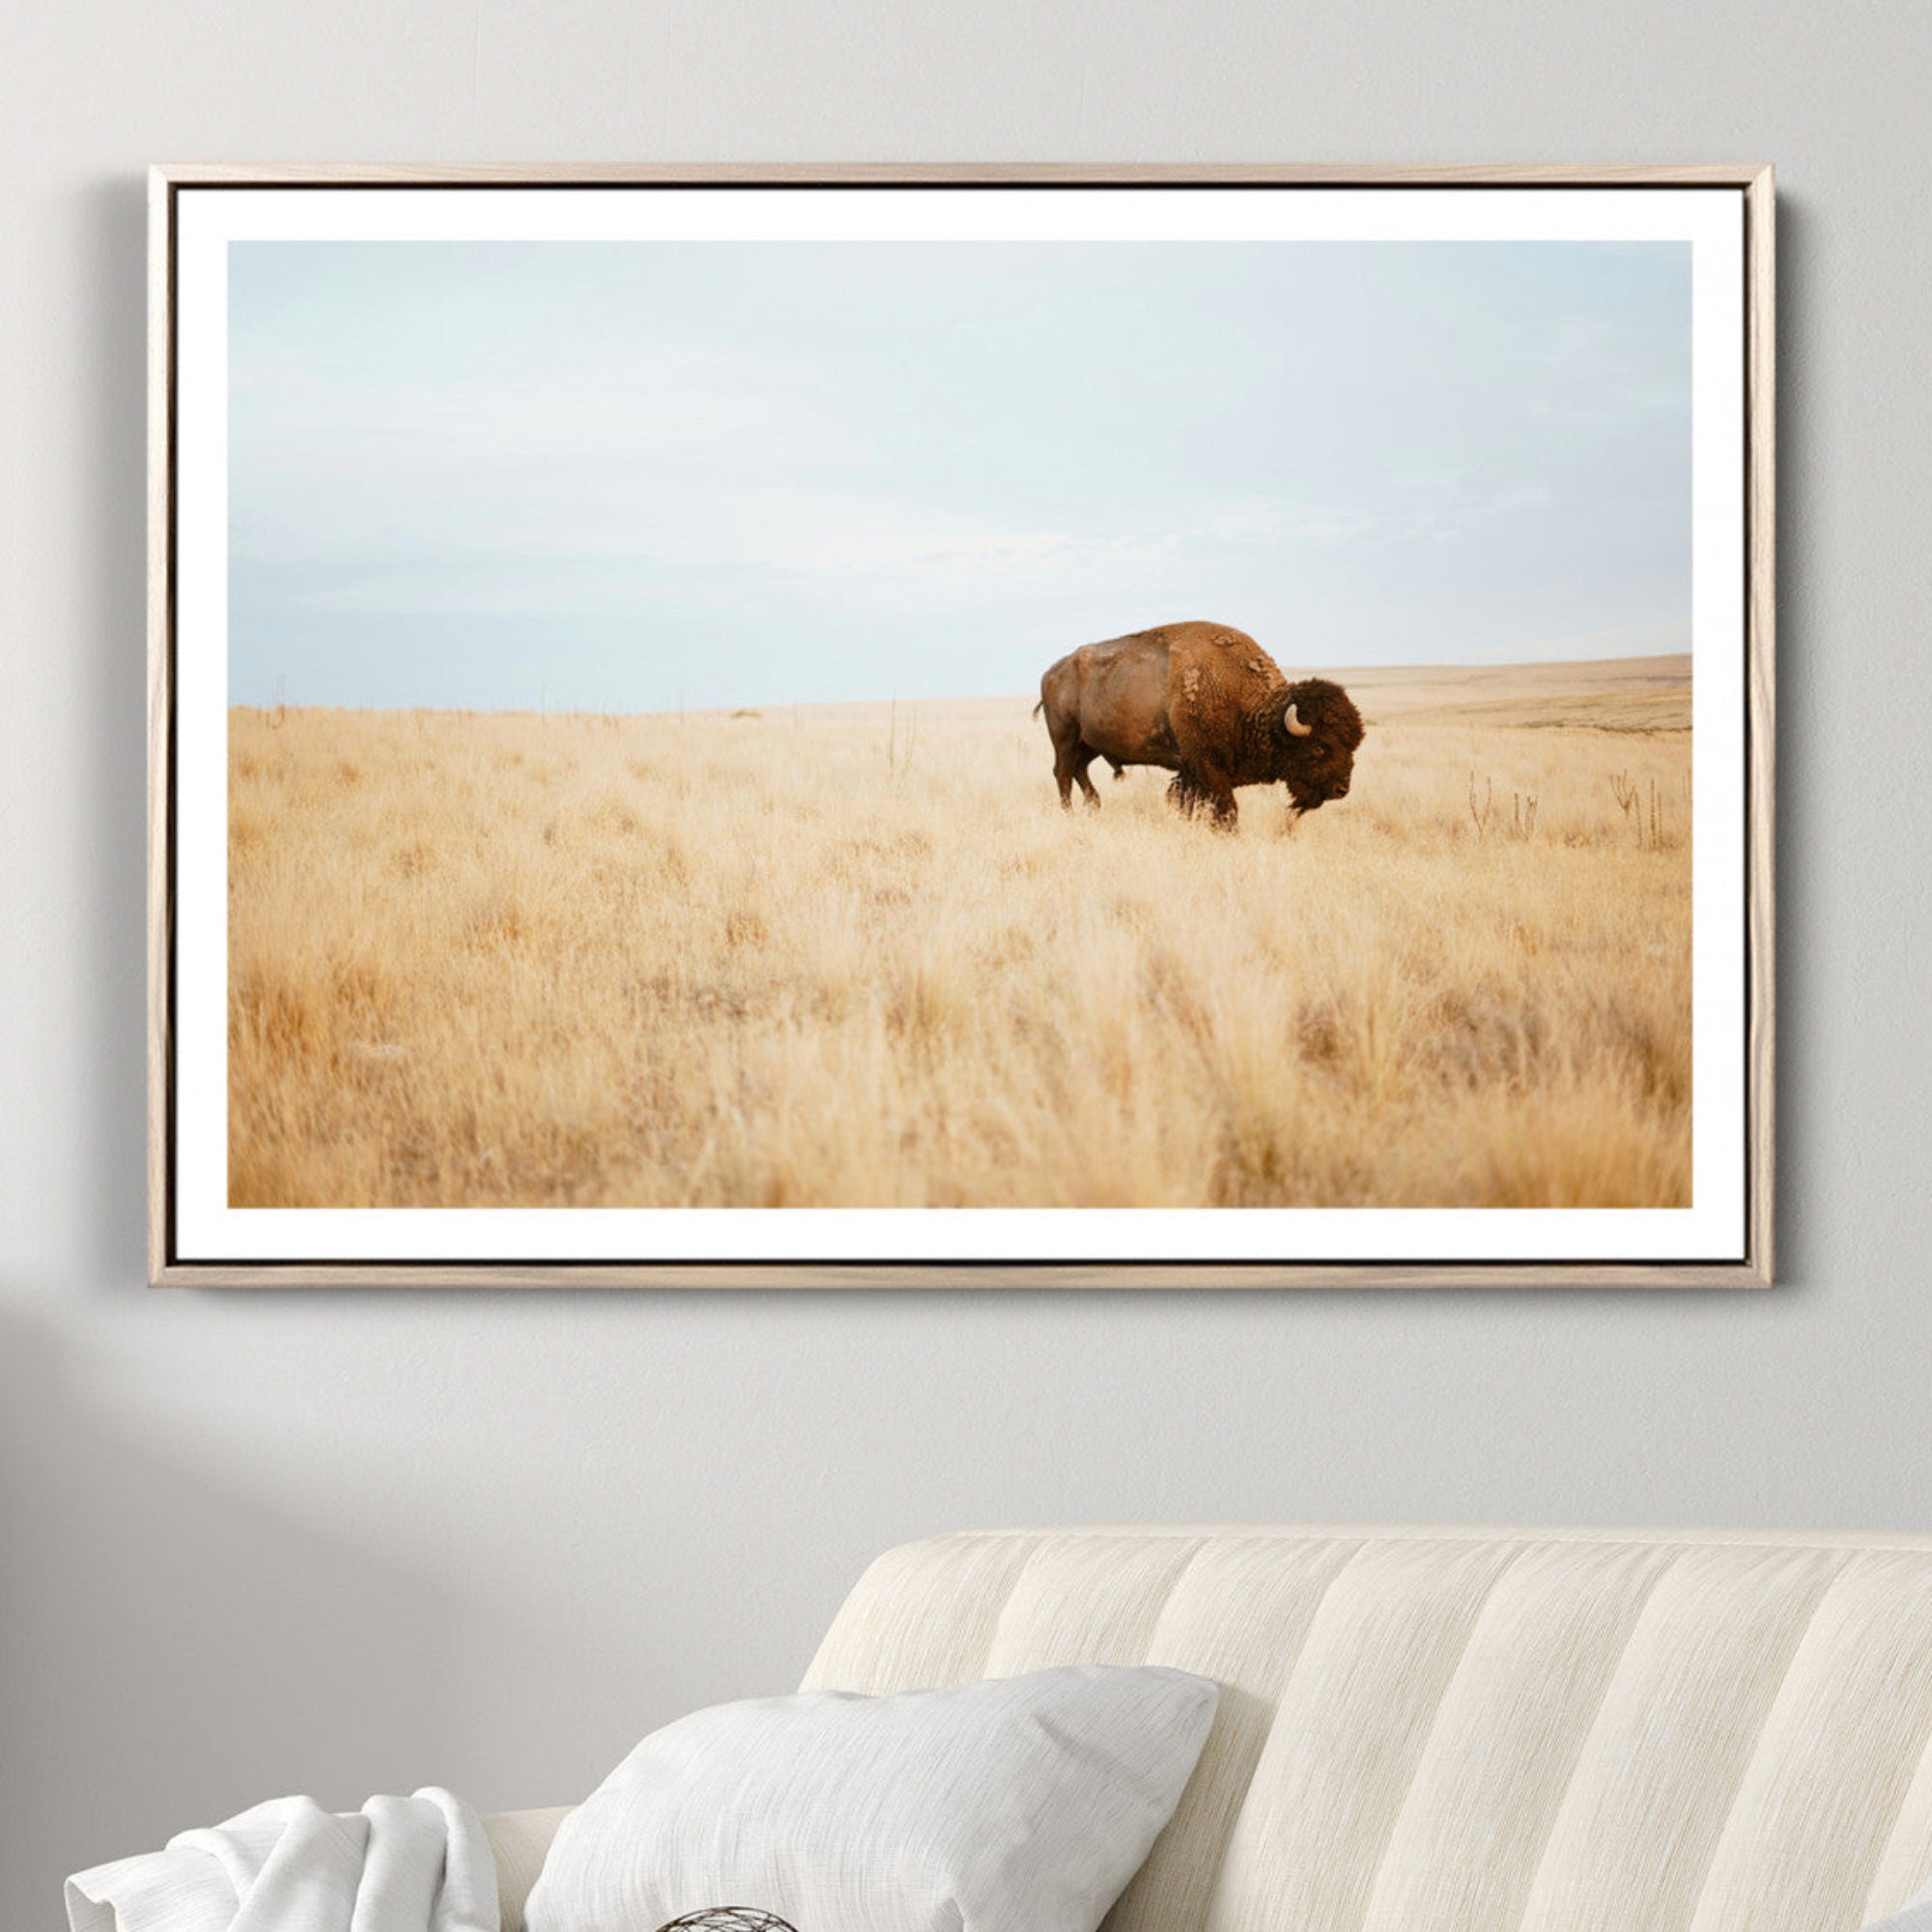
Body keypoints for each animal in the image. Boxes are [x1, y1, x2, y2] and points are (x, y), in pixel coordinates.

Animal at [1036, 620, 1364, 828]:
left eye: (1353, 746)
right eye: (1319, 747)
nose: (1341, 789)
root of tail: (1050, 672)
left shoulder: (1192, 772)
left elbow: (1186, 802)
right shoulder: (1207, 766)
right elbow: (1226, 808)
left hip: (1089, 744)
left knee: (1079, 771)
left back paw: (1094, 807)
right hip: (1065, 738)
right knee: (1063, 774)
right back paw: (1070, 814)